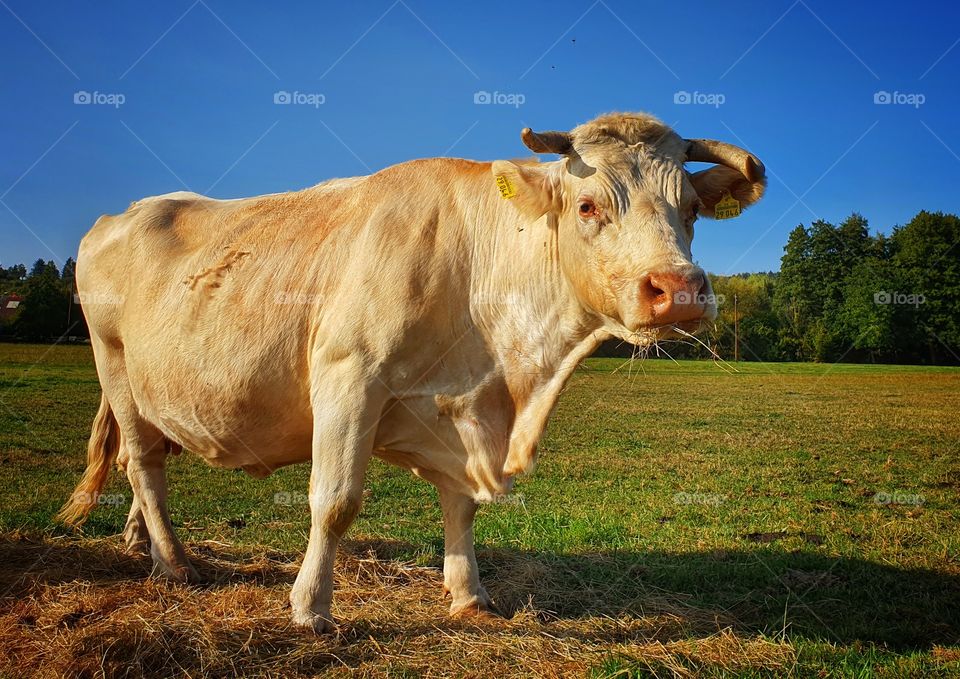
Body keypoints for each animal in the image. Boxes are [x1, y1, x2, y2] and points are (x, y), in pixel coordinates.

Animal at [58, 112, 766, 632]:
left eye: (691, 211)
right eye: (589, 205)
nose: (678, 291)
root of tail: (125, 211)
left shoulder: (463, 410)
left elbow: (461, 506)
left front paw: (469, 595)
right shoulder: (348, 377)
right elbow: (335, 502)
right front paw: (310, 608)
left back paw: (143, 546)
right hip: (115, 366)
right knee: (143, 464)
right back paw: (174, 563)